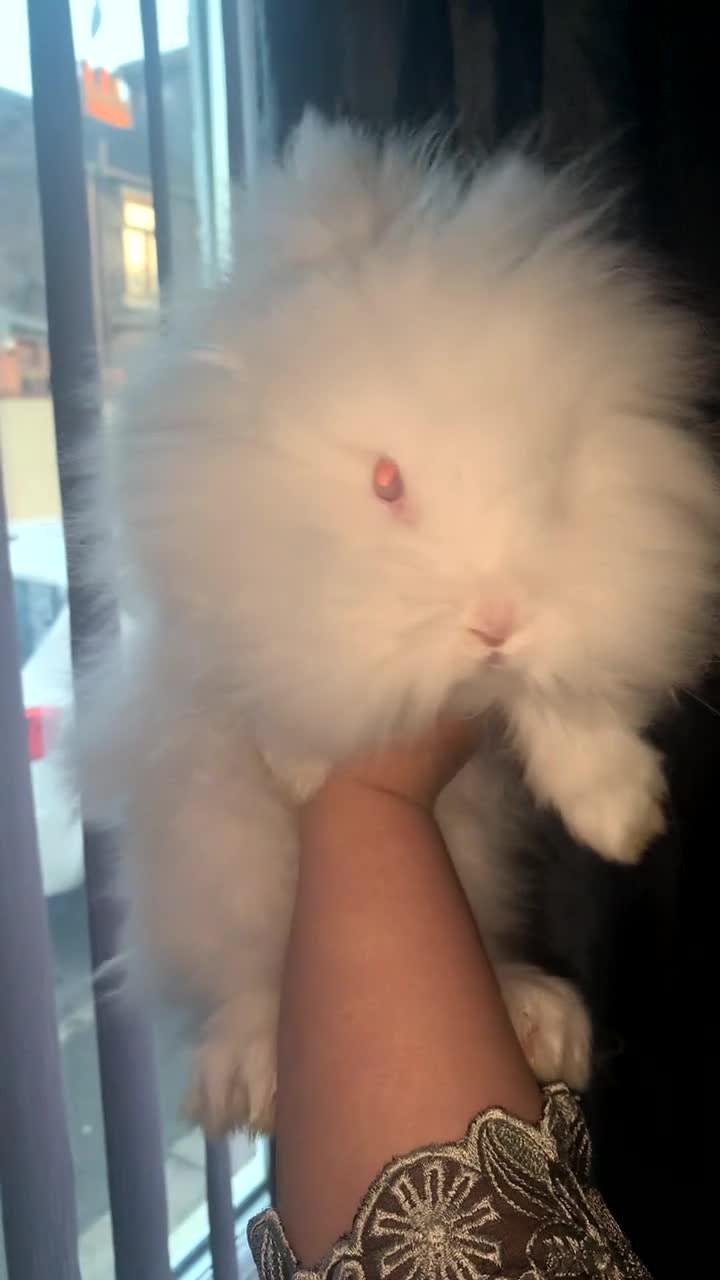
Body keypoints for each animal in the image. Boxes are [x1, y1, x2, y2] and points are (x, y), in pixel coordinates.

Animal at [79, 112, 720, 1137]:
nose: (496, 623)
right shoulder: (221, 606)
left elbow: (565, 708)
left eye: (551, 477)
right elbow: (275, 671)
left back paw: (542, 1018)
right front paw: (303, 765)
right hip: (214, 866)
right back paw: (246, 1071)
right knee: (246, 978)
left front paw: (620, 817)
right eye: (386, 483)